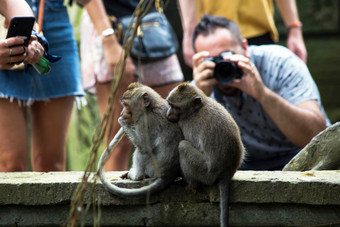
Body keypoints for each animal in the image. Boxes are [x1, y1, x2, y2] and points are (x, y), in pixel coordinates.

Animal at [165, 82, 243, 227]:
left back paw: (191, 184)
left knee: (182, 146)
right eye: (170, 104)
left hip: (205, 173)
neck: (197, 109)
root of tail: (227, 172)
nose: (168, 113)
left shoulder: (187, 124)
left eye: (175, 107)